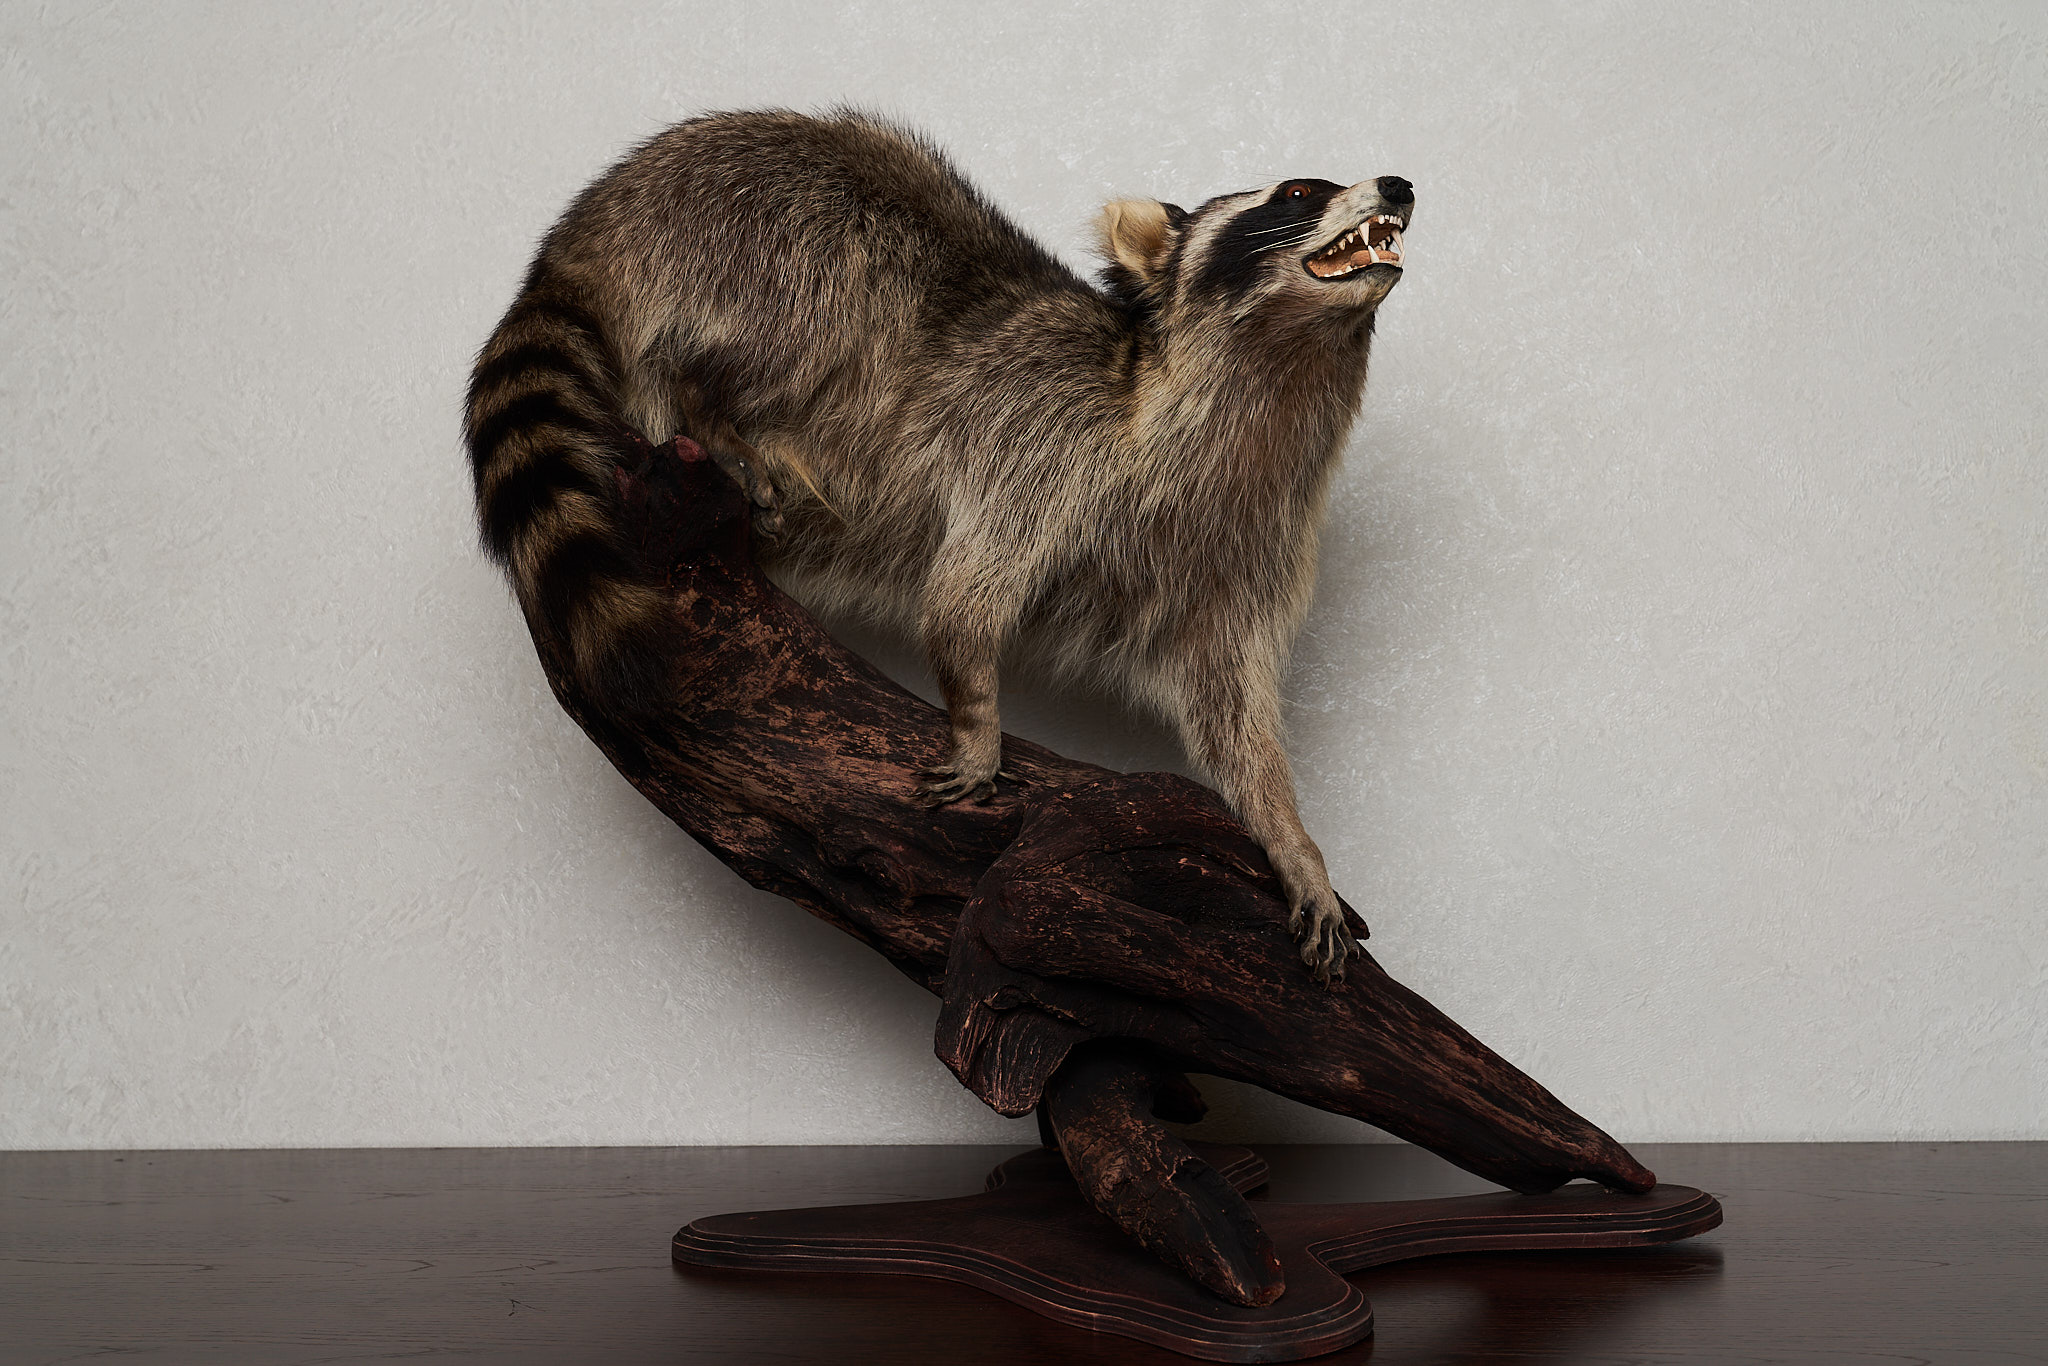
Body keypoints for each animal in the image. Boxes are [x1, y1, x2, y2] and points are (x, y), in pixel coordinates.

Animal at [464, 109, 1412, 979]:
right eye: (1298, 193)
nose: (1400, 184)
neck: (1276, 381)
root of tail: (594, 223)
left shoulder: (1250, 542)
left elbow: (1228, 708)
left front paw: (1292, 841)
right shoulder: (1041, 439)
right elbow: (963, 595)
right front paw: (979, 722)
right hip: (760, 238)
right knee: (802, 310)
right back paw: (710, 408)